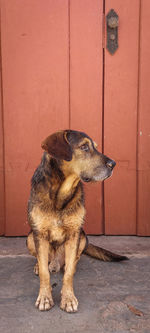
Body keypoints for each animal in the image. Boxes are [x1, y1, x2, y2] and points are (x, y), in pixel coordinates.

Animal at [26, 129, 126, 312]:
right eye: (84, 147)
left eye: (95, 146)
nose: (113, 164)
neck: (61, 193)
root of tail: (55, 262)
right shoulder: (40, 233)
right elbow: (44, 272)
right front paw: (44, 297)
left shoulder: (74, 233)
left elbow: (68, 274)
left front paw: (68, 298)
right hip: (30, 237)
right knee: (42, 260)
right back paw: (38, 264)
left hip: (83, 237)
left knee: (71, 261)